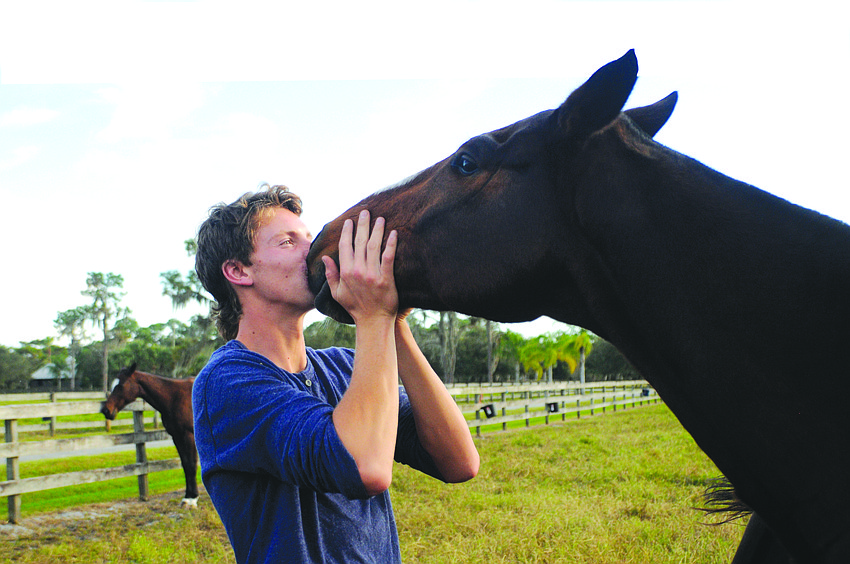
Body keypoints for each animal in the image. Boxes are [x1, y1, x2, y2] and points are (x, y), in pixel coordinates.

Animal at [101, 363, 199, 507]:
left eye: (121, 385)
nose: (106, 410)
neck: (174, 397)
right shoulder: (177, 437)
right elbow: (185, 464)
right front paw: (187, 497)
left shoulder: (188, 436)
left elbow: (191, 465)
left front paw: (193, 499)